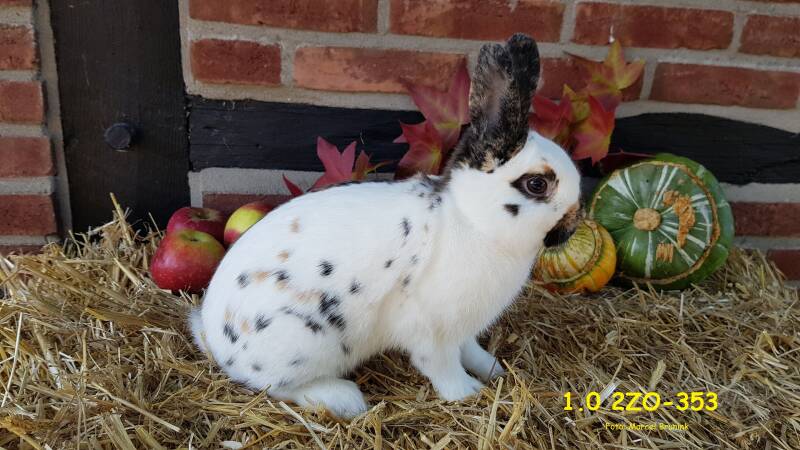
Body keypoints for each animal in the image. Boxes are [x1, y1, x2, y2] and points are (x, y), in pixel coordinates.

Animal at [189, 33, 583, 419]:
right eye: (537, 184)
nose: (574, 223)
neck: (472, 219)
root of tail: (212, 336)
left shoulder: (463, 329)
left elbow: (470, 350)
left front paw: (493, 369)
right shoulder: (430, 329)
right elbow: (440, 365)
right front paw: (467, 393)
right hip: (303, 344)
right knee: (279, 386)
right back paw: (345, 399)